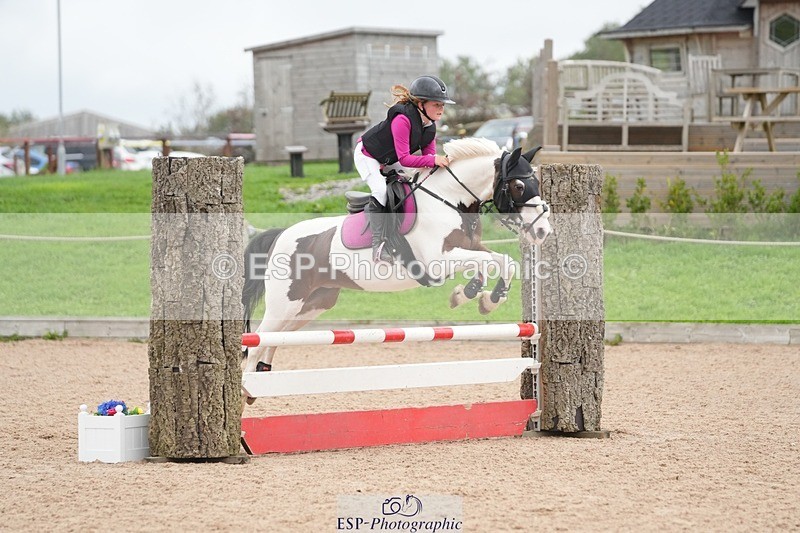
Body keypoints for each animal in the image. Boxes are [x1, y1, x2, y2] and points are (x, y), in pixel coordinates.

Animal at [241, 137, 552, 380]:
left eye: (536, 182)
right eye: (519, 186)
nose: (542, 231)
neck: (449, 199)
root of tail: (280, 236)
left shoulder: (470, 248)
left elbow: (501, 260)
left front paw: (479, 296)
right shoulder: (439, 261)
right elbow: (493, 261)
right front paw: (484, 296)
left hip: (312, 304)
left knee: (275, 340)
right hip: (284, 304)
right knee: (255, 344)